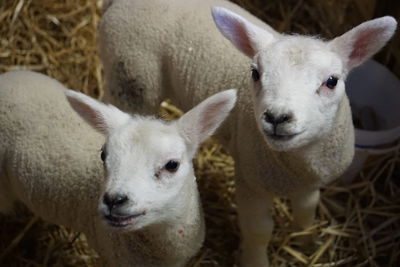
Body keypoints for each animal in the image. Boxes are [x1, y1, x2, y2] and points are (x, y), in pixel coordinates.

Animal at [97, 0, 396, 266]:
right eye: (255, 73)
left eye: (331, 81)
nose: (277, 117)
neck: (299, 163)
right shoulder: (250, 180)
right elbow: (259, 231)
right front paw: (255, 261)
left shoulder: (311, 182)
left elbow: (306, 211)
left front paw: (307, 242)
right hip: (130, 80)